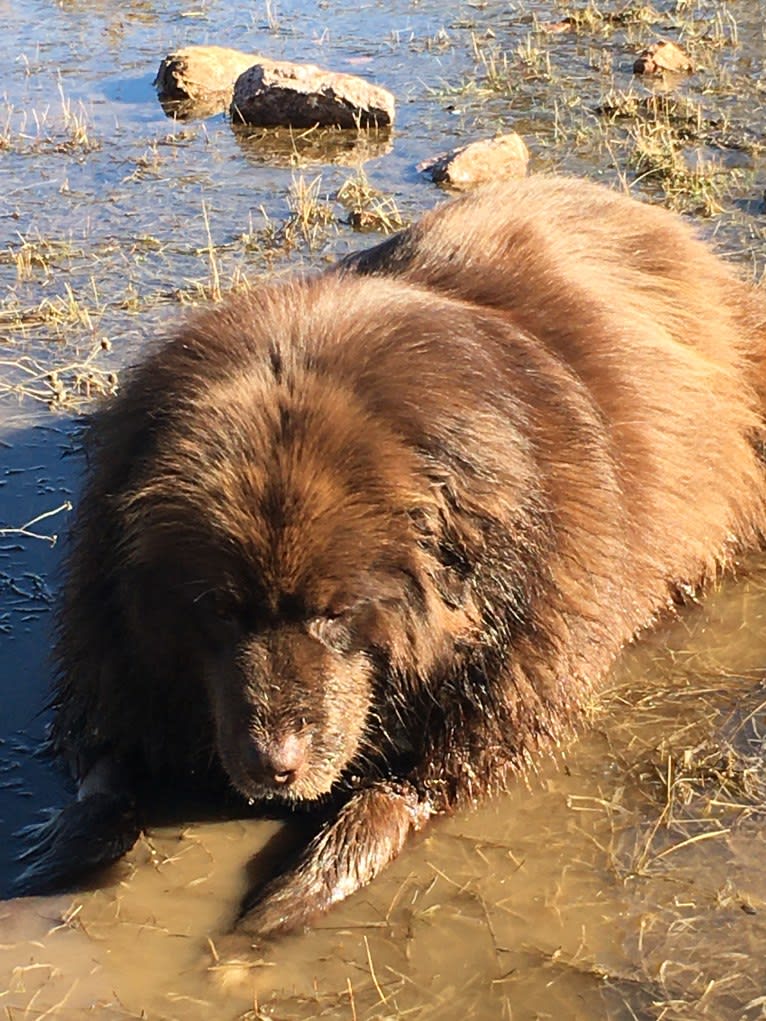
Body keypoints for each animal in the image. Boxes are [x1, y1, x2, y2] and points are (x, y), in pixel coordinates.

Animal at [16, 175, 766, 939]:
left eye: (337, 612)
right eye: (220, 610)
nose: (274, 765)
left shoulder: (512, 667)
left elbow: (407, 787)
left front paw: (308, 883)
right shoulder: (115, 644)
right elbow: (105, 769)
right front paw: (64, 846)